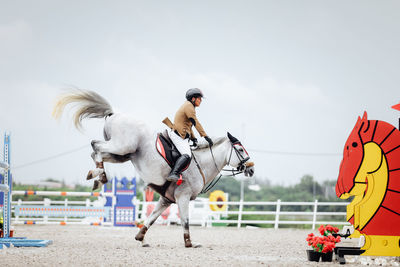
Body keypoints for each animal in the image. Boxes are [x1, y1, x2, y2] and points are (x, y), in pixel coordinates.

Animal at [53, 89, 255, 248]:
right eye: (240, 150)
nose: (251, 169)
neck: (200, 164)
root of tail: (114, 114)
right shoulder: (183, 197)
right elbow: (185, 221)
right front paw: (190, 243)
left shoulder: (166, 199)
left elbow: (151, 218)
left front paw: (141, 238)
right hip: (122, 147)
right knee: (96, 146)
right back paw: (98, 176)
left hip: (122, 154)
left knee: (97, 152)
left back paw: (98, 177)